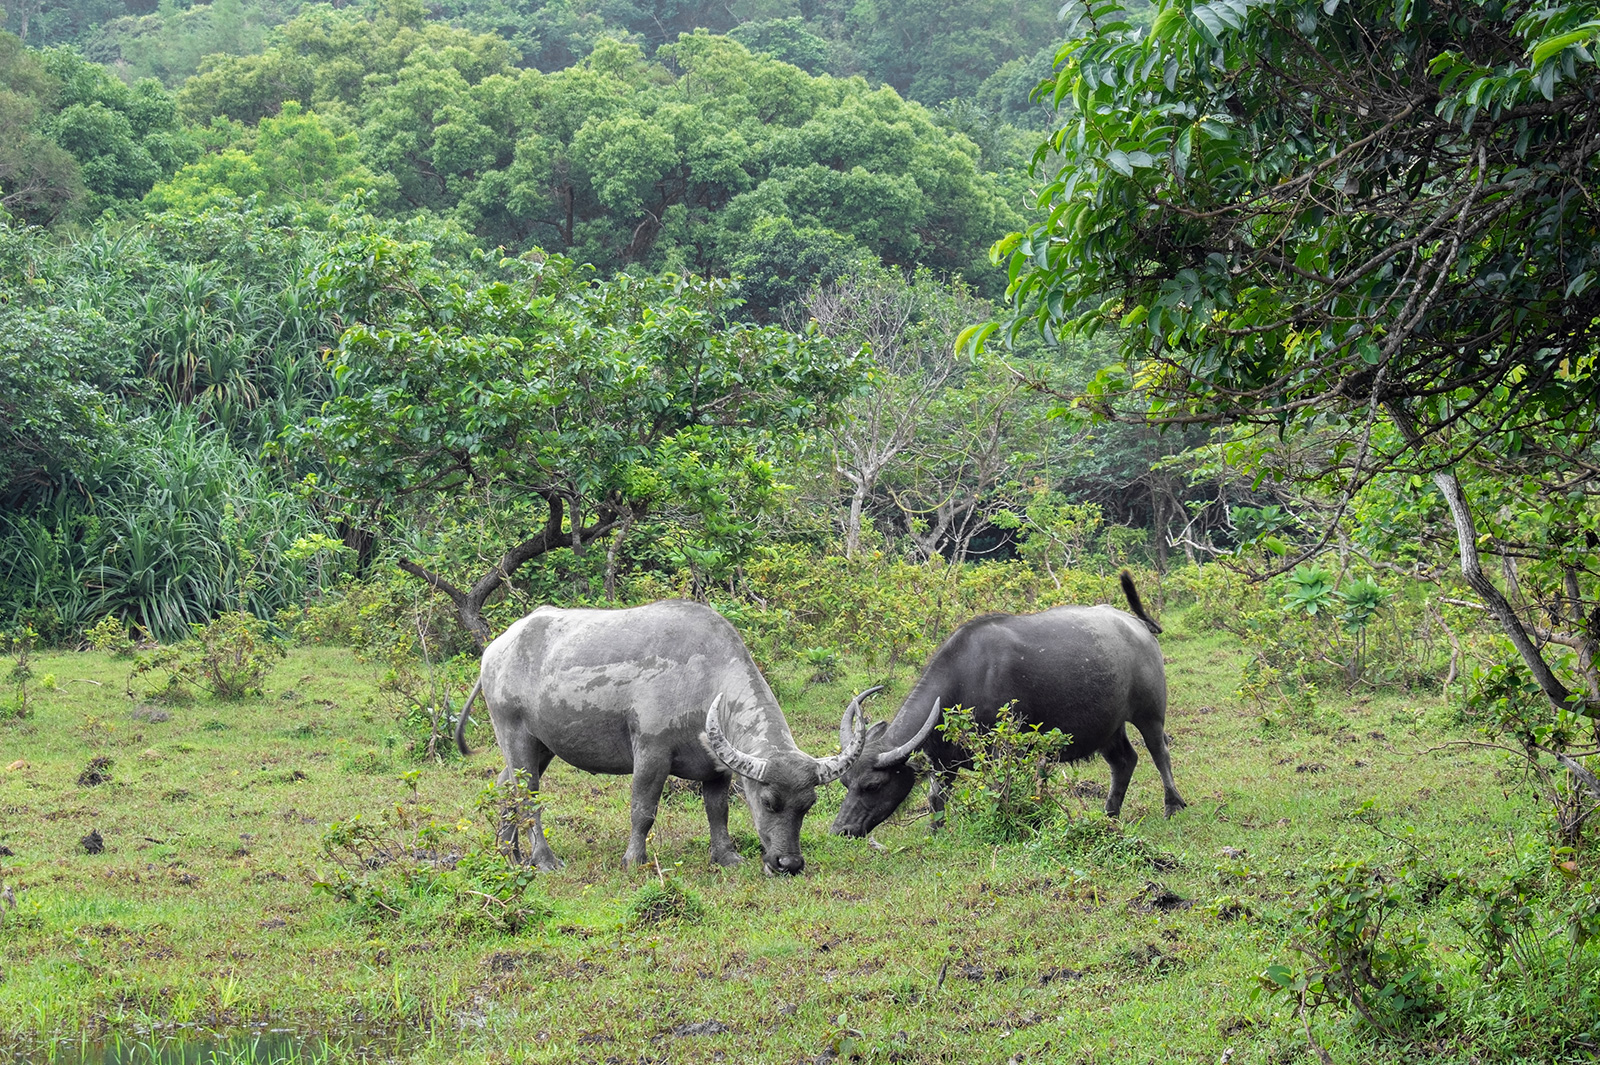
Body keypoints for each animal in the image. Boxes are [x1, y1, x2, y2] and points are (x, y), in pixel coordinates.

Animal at [454, 600, 871, 875]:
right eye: (769, 802)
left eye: (808, 805)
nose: (789, 863)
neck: (703, 678)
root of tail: (497, 648)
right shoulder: (651, 753)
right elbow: (643, 810)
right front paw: (633, 859)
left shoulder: (717, 768)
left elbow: (717, 811)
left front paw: (727, 856)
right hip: (515, 735)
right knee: (527, 797)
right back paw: (543, 859)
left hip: (541, 745)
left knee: (504, 787)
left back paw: (508, 854)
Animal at [831, 572, 1185, 837]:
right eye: (846, 782)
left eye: (873, 785)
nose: (841, 830)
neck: (968, 679)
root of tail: (1137, 625)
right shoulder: (943, 760)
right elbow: (936, 798)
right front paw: (936, 832)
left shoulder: (1001, 749)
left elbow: (1001, 788)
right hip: (1108, 727)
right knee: (1124, 761)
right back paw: (1109, 815)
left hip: (1150, 713)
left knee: (1159, 753)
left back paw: (1173, 805)